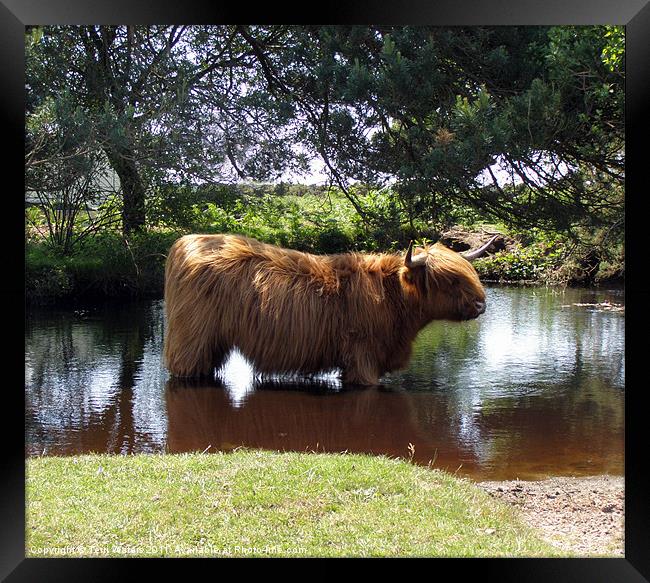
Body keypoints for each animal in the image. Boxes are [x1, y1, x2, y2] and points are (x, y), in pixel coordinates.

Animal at [162, 233, 492, 388]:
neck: (393, 297)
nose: (481, 304)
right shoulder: (363, 357)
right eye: (451, 280)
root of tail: (186, 243)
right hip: (192, 340)